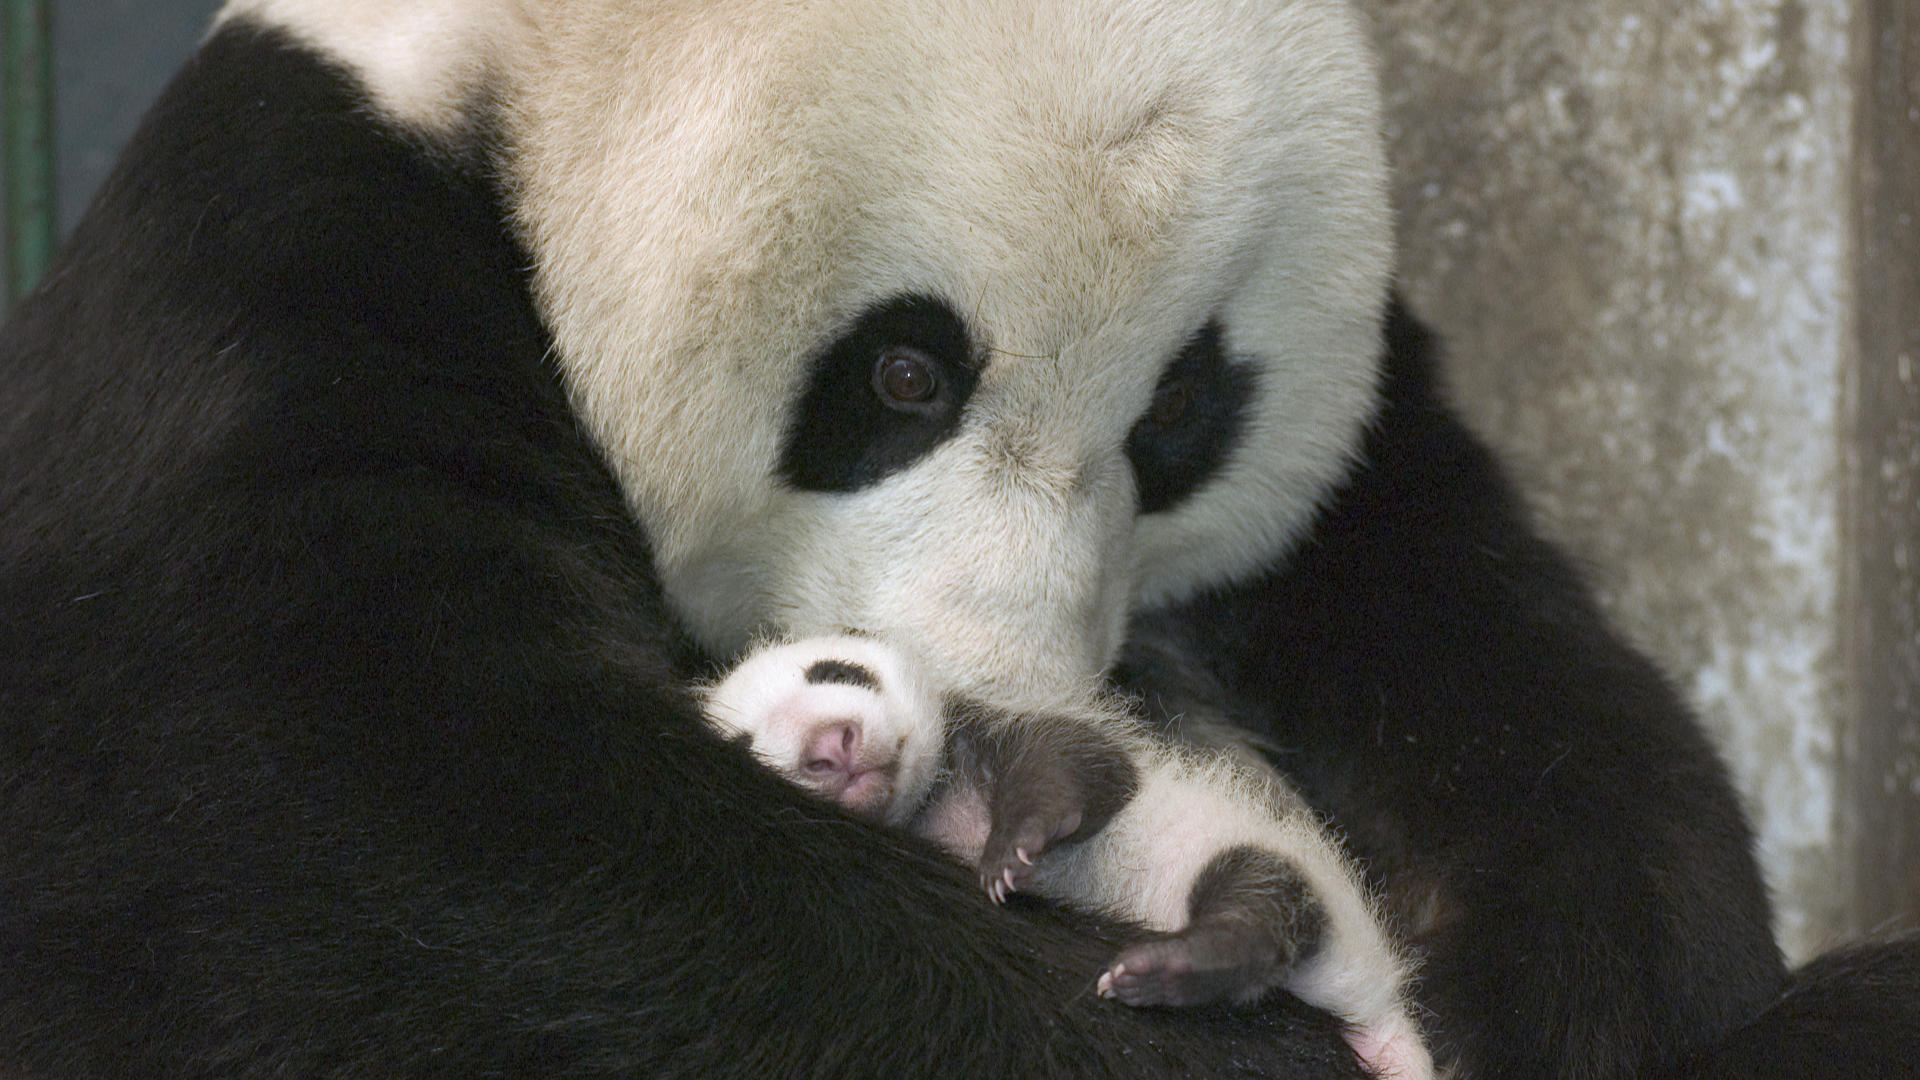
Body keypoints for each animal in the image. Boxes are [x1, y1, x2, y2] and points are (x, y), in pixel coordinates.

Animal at [1, 0, 1915, 1078]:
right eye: (905, 372)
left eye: (1181, 417)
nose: (1003, 695)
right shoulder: (276, 292)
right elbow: (393, 844)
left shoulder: (1370, 468)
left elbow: (1541, 718)